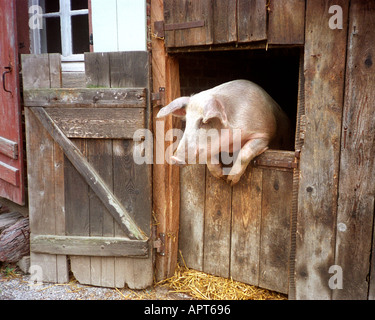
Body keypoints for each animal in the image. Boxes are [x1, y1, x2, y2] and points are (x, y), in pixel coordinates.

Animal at [156, 79, 290, 185]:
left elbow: (245, 153)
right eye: (187, 121)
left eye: (203, 122)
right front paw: (220, 176)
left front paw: (230, 181)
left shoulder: (263, 134)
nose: (174, 158)